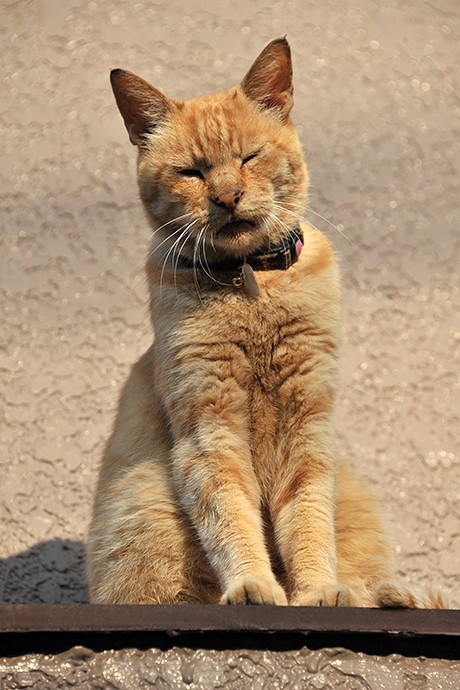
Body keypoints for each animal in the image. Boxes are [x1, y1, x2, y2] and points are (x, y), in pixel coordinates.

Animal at [86, 39, 446, 608]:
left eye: (248, 157)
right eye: (192, 172)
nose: (227, 196)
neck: (249, 286)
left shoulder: (308, 424)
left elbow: (307, 518)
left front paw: (319, 589)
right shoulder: (209, 427)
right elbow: (230, 513)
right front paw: (253, 584)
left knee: (370, 574)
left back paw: (384, 594)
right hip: (147, 508)